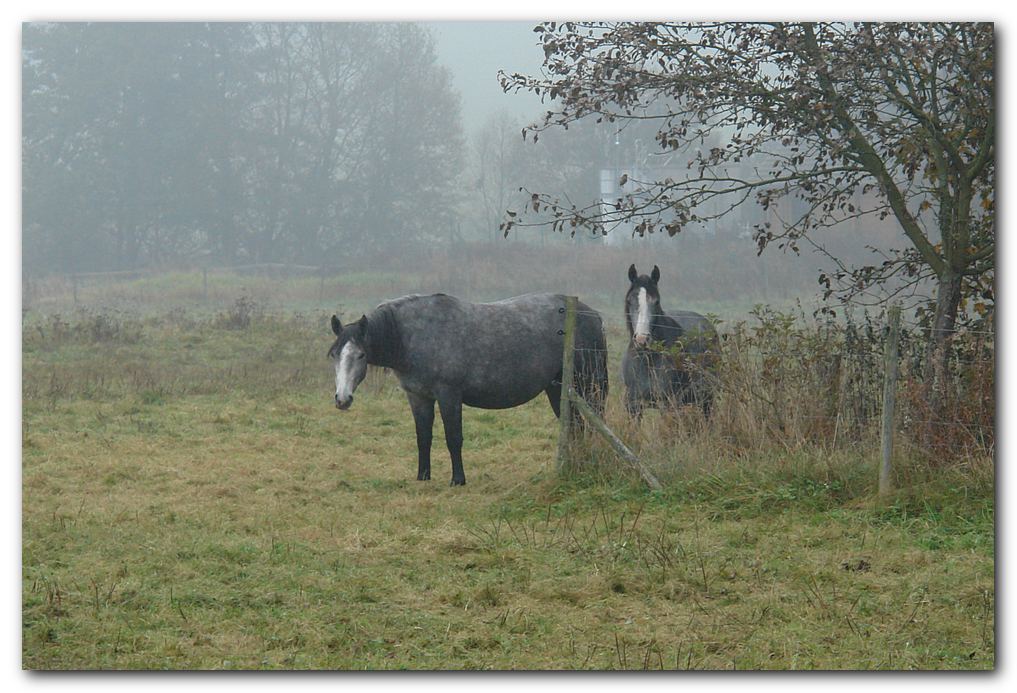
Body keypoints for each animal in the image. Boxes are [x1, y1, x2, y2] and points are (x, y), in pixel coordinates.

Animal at [329, 295, 606, 484]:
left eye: (361, 355)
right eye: (334, 354)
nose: (342, 399)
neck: (412, 336)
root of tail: (591, 314)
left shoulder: (449, 395)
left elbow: (454, 437)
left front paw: (458, 480)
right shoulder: (418, 397)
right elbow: (423, 437)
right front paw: (423, 476)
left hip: (588, 386)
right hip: (558, 389)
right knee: (576, 427)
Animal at [622, 262, 720, 417]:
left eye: (656, 302)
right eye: (629, 301)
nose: (642, 340)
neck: (647, 360)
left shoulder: (669, 405)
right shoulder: (634, 406)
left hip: (706, 400)